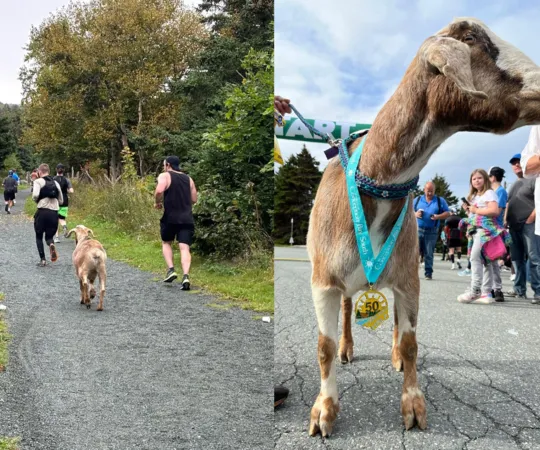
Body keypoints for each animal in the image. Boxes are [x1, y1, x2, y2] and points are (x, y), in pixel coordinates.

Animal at [306, 16, 540, 436]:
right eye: (472, 38)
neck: (376, 180)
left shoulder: (408, 278)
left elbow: (412, 342)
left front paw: (413, 405)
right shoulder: (323, 281)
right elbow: (324, 347)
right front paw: (324, 410)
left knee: (397, 321)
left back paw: (395, 355)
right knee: (348, 311)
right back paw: (349, 347)